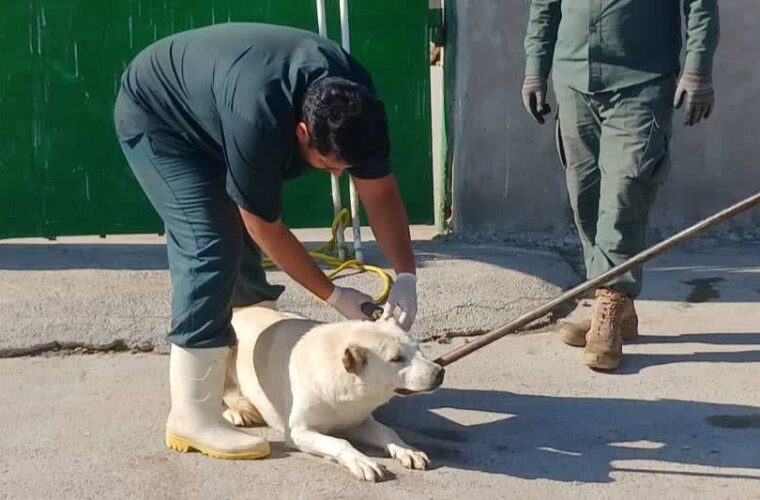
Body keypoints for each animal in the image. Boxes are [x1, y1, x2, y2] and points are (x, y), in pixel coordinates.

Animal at [223, 306, 442, 482]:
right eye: (396, 359)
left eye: (419, 349)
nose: (440, 372)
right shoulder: (298, 432)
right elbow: (340, 442)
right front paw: (362, 461)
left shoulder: (357, 420)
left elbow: (387, 431)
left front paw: (407, 450)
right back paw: (236, 410)